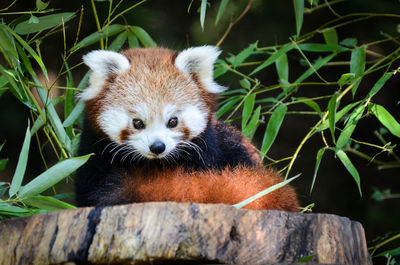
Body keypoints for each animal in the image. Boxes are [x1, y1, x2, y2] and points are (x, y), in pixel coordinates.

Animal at [75, 46, 298, 210]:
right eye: (137, 123)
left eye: (172, 121)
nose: (158, 147)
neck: (154, 165)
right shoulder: (94, 155)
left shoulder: (209, 154)